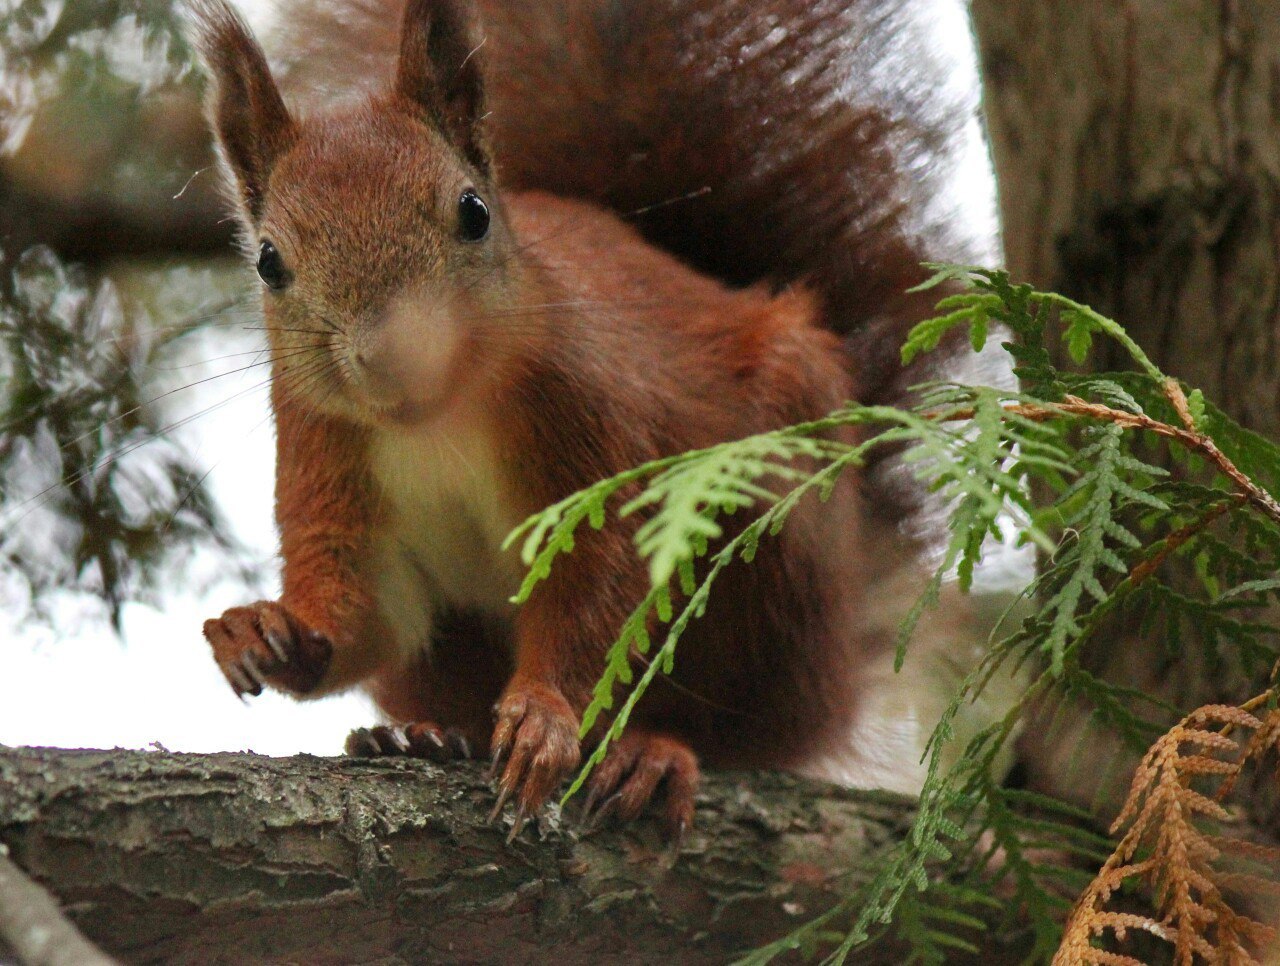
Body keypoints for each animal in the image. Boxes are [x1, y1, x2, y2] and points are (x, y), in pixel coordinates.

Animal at [192, 0, 988, 834]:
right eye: (268, 262)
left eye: (473, 213)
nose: (393, 353)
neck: (436, 421)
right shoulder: (323, 447)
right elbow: (372, 611)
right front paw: (270, 632)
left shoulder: (588, 424)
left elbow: (594, 590)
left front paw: (544, 716)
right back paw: (424, 736)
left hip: (773, 548)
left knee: (739, 729)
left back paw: (653, 751)